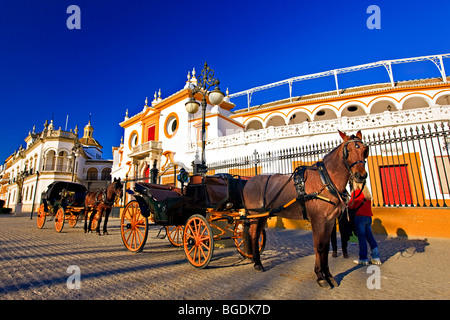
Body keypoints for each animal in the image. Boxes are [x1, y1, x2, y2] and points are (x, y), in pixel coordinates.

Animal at [244, 130, 368, 288]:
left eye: (364, 150)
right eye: (349, 151)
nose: (360, 175)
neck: (325, 180)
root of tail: (249, 181)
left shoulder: (329, 221)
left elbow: (326, 247)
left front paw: (328, 275)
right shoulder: (318, 220)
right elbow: (319, 246)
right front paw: (320, 276)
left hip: (262, 215)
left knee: (256, 233)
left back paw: (256, 260)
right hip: (254, 215)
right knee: (253, 234)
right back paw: (257, 263)